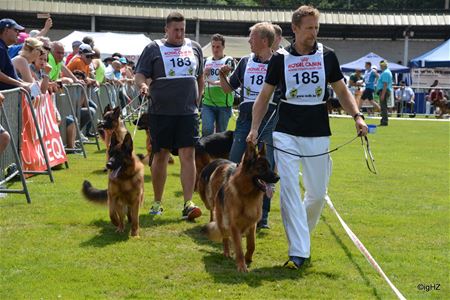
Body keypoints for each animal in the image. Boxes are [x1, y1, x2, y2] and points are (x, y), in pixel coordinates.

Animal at [199, 142, 280, 272]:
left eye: (269, 166)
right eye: (261, 168)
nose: (278, 178)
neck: (247, 195)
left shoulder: (252, 224)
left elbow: (251, 245)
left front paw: (248, 258)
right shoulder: (234, 226)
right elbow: (239, 248)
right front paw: (241, 265)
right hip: (222, 221)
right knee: (225, 237)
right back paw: (227, 252)